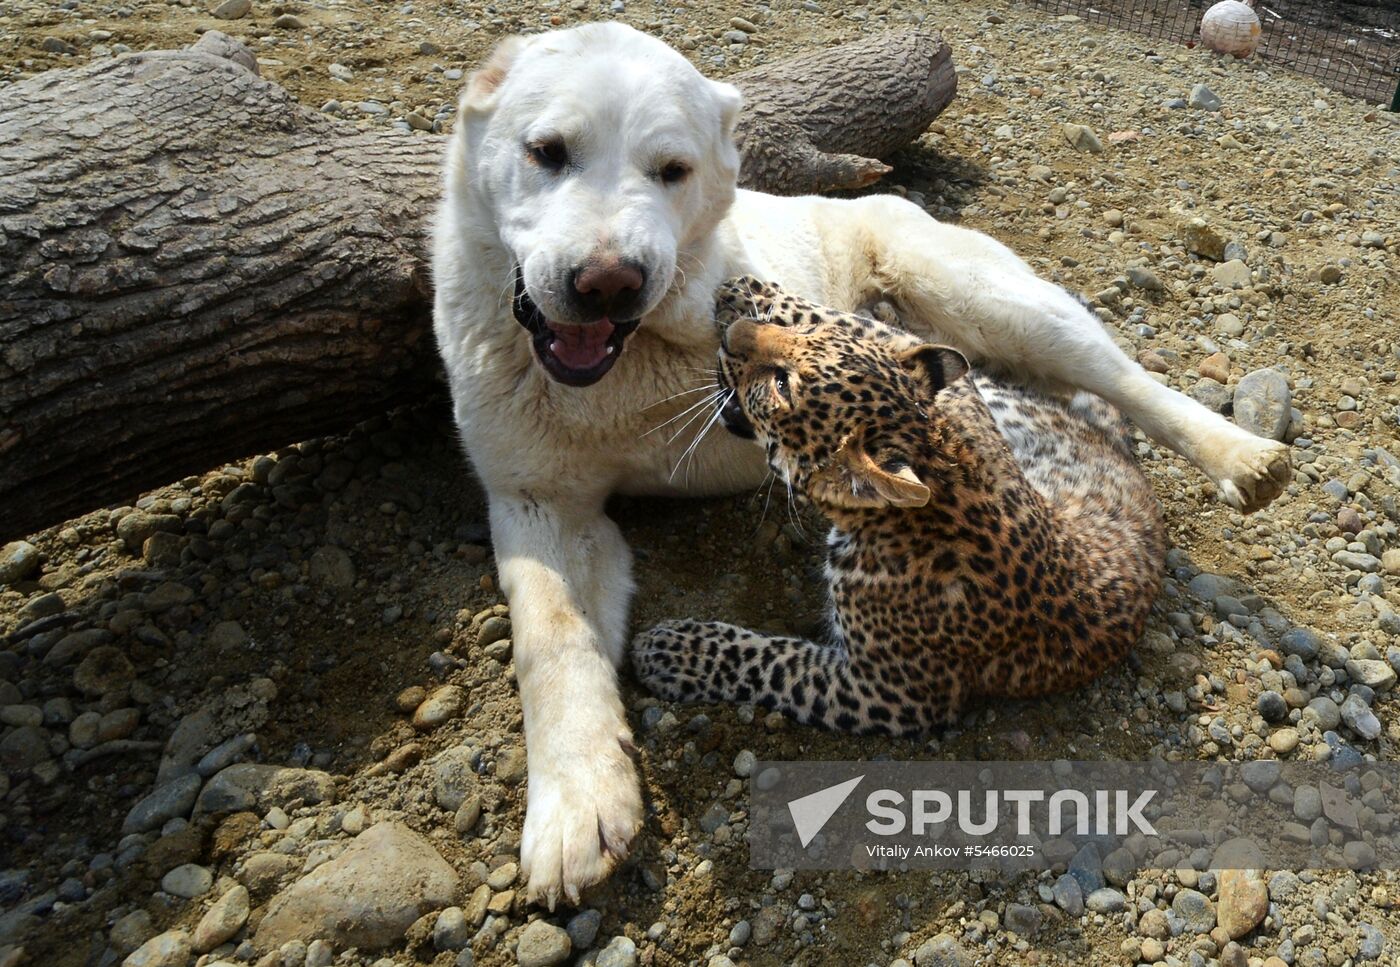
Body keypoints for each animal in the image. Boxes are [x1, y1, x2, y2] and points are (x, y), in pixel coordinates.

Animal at [428, 22, 1288, 906]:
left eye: (673, 170)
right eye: (546, 151)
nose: (608, 283)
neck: (622, 371)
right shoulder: (538, 502)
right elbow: (552, 639)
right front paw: (575, 805)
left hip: (1001, 304)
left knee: (1128, 379)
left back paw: (1245, 457)